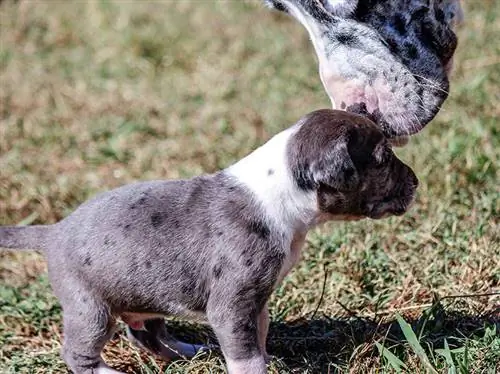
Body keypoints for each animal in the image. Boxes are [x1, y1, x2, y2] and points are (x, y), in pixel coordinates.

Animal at [0, 109, 418, 374]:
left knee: (148, 335)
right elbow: (245, 354)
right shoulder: (231, 305)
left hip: (144, 295)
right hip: (89, 308)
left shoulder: (256, 300)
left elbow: (258, 336)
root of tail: (54, 230)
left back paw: (187, 350)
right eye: (382, 158)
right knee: (78, 353)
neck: (281, 192)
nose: (416, 182)